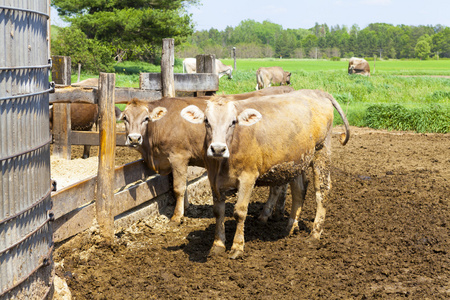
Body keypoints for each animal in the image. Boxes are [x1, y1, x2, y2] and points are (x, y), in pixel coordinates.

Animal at [119, 86, 296, 223]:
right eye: (125, 118)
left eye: (145, 118)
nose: (134, 138)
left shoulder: (178, 157)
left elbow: (178, 187)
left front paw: (177, 216)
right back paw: (278, 212)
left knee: (277, 187)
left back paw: (266, 214)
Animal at [181, 88, 350, 258]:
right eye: (206, 121)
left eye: (233, 122)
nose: (217, 149)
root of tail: (317, 91)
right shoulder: (213, 179)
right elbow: (218, 211)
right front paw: (218, 245)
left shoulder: (248, 177)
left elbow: (240, 212)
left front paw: (237, 247)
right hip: (297, 161)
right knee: (299, 191)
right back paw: (290, 227)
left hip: (322, 152)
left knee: (322, 191)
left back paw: (314, 234)